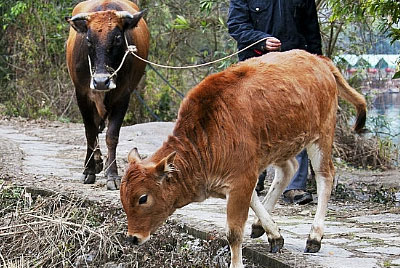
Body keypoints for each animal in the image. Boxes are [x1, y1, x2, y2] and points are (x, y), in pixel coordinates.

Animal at [66, 0, 150, 189]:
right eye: (88, 40)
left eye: (118, 38)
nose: (101, 81)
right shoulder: (82, 95)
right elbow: (90, 132)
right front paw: (88, 170)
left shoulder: (123, 96)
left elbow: (112, 136)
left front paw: (112, 175)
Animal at [120, 49, 368, 266]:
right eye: (123, 198)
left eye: (143, 198)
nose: (133, 237)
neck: (207, 135)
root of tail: (319, 59)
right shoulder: (243, 173)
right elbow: (253, 199)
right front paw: (272, 232)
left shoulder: (241, 177)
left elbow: (233, 232)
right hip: (278, 145)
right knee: (288, 169)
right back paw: (262, 226)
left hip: (321, 136)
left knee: (325, 176)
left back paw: (314, 236)